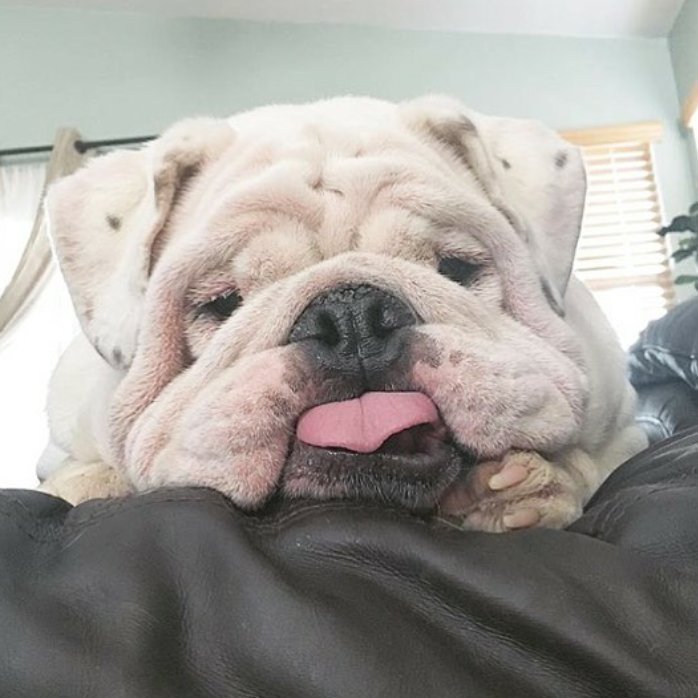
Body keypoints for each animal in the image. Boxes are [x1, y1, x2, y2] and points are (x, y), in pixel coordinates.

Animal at [36, 95, 648, 532]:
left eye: (456, 268)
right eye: (223, 303)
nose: (352, 315)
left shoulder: (623, 428)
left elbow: (600, 463)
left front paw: (529, 488)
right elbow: (75, 476)